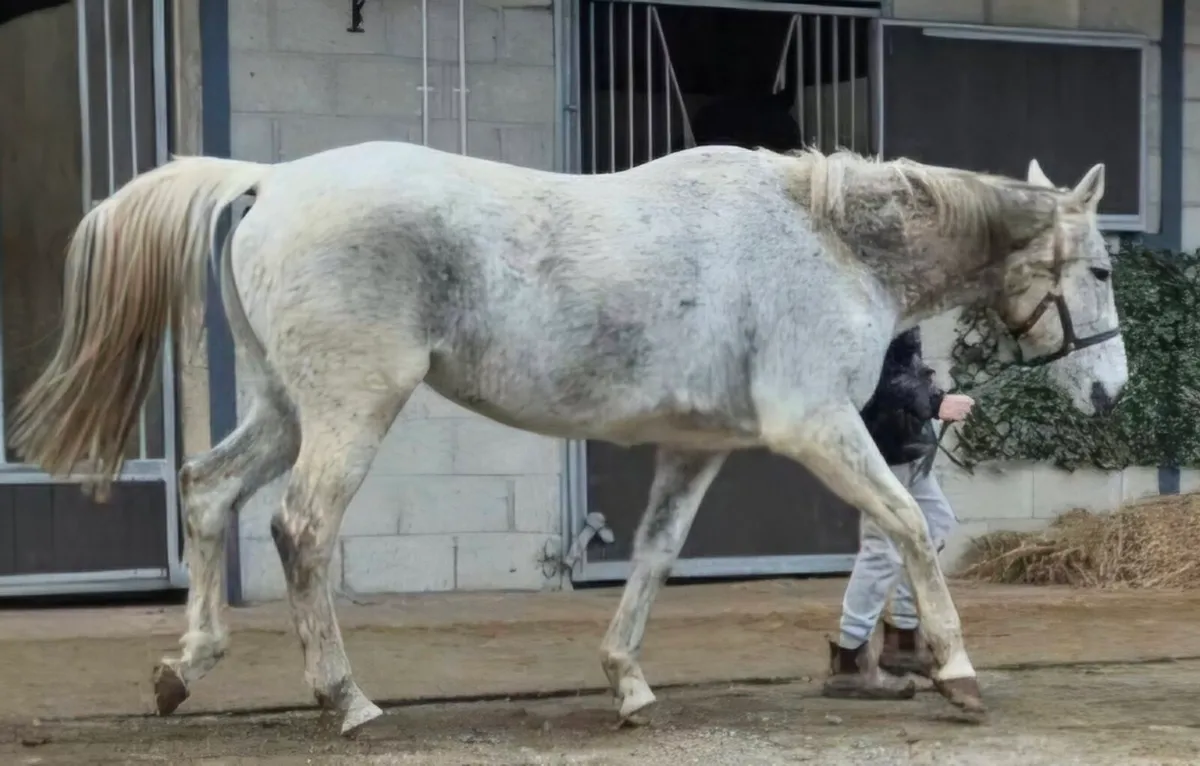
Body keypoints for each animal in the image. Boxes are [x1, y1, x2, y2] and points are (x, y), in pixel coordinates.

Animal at [10, 142, 1126, 735]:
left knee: (206, 490)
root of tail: (272, 178)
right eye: (1106, 269)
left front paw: (627, 683)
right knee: (301, 530)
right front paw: (956, 670)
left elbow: (654, 560)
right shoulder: (816, 426)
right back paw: (348, 700)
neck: (828, 243)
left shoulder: (698, 447)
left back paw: (183, 667)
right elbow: (904, 527)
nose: (1114, 390)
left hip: (289, 407)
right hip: (348, 409)